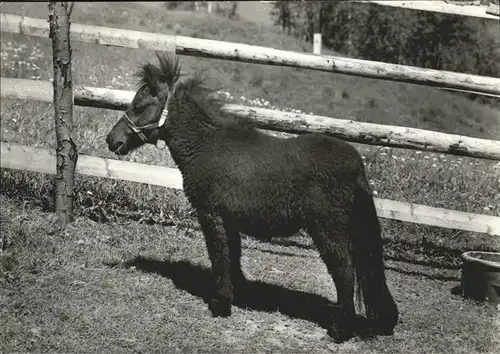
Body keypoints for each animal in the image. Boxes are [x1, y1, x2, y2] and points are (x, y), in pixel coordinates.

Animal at [105, 53, 398, 342]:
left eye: (139, 105)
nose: (112, 140)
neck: (207, 146)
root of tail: (357, 164)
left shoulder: (211, 214)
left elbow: (219, 257)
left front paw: (221, 305)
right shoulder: (229, 220)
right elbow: (233, 257)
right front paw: (239, 295)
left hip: (328, 230)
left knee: (344, 273)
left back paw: (340, 330)